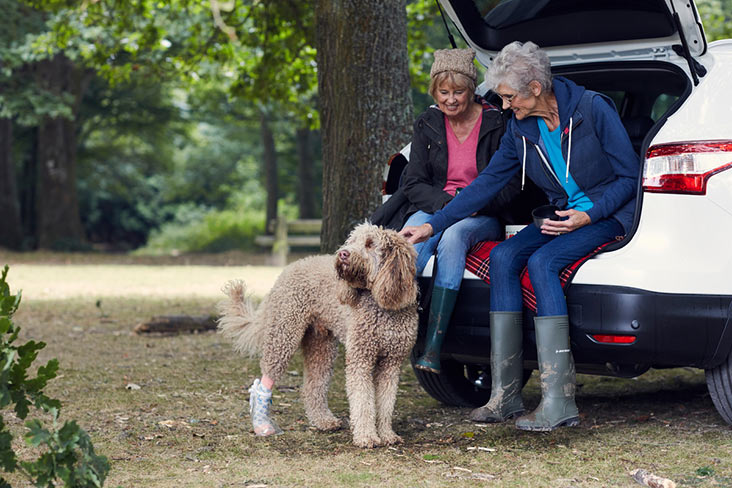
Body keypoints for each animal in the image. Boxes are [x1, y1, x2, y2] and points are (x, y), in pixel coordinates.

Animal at [219, 223, 418, 448]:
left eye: (369, 243)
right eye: (352, 240)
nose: (343, 253)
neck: (381, 304)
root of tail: (289, 268)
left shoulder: (391, 364)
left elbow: (386, 403)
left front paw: (386, 434)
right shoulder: (360, 359)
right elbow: (363, 402)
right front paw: (367, 436)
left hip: (320, 345)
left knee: (312, 386)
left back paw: (323, 421)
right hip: (284, 333)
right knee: (268, 375)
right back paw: (261, 421)